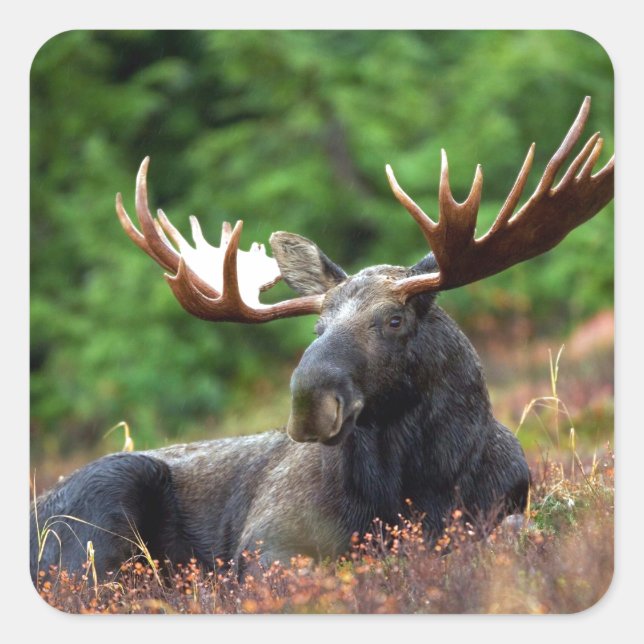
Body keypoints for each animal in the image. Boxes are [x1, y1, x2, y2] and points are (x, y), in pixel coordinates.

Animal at [30, 97, 613, 582]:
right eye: (318, 327)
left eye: (394, 320)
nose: (309, 403)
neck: (419, 485)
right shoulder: (268, 539)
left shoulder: (505, 507)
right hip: (104, 502)